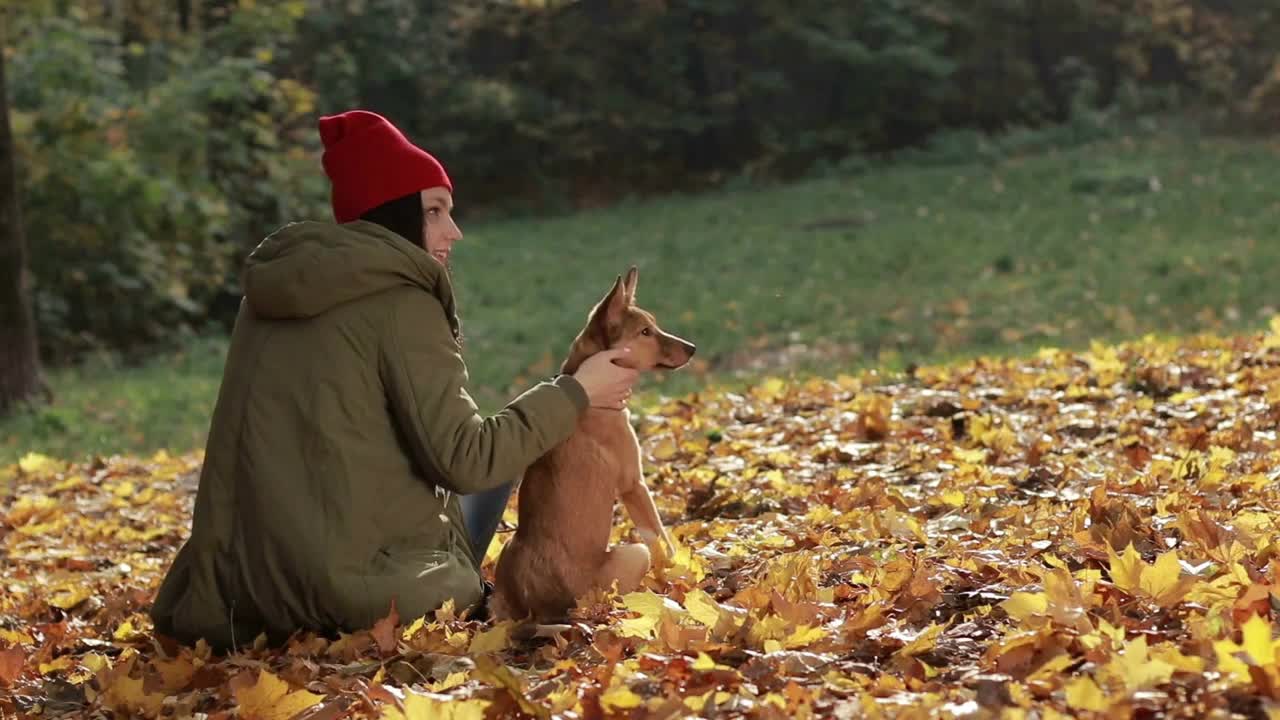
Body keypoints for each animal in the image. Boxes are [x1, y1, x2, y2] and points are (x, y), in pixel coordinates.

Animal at [488, 266, 696, 620]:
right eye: (645, 332)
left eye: (654, 325)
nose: (693, 348)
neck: (592, 396)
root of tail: (540, 610)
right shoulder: (634, 485)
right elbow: (662, 541)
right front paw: (676, 574)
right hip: (633, 554)